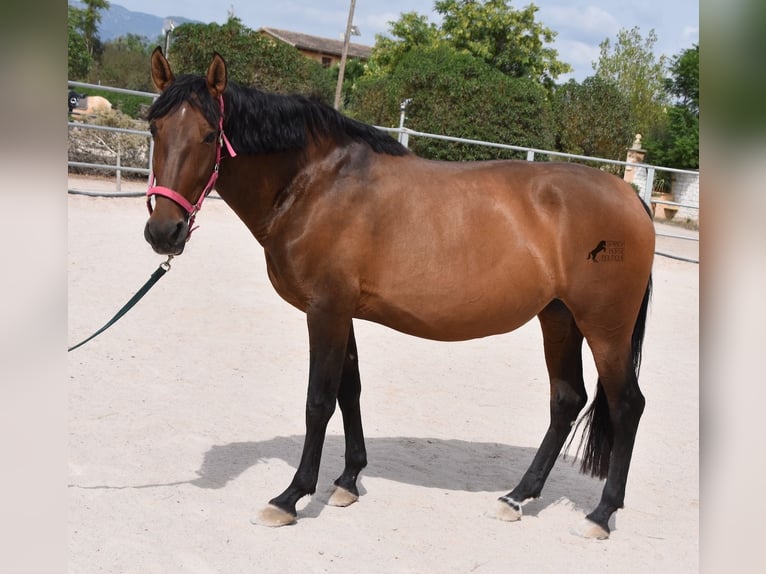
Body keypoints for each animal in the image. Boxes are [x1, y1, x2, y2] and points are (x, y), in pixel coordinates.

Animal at [146, 48, 660, 540]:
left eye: (209, 135)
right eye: (154, 128)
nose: (164, 232)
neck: (316, 184)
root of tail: (631, 196)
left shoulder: (326, 311)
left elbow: (319, 401)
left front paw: (290, 498)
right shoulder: (341, 312)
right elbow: (349, 391)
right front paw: (347, 482)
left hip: (604, 328)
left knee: (627, 406)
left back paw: (600, 515)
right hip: (558, 318)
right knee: (566, 400)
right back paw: (517, 497)